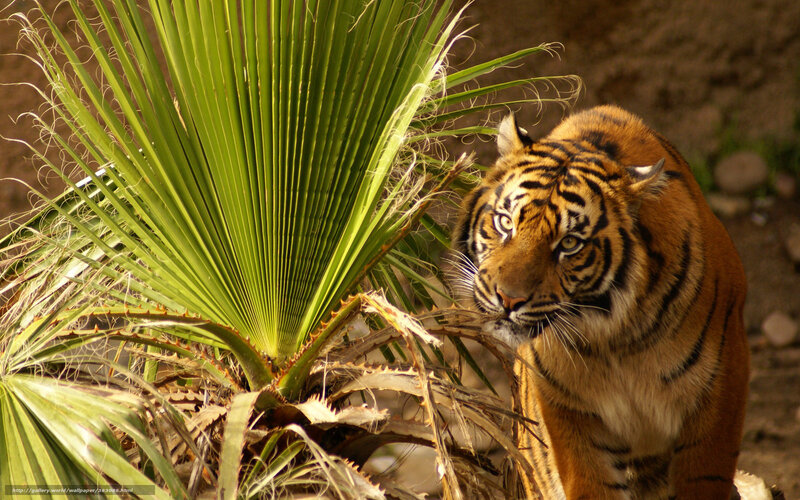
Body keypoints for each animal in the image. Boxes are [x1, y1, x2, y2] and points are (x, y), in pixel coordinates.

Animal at [452, 105, 749, 499]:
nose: (508, 299)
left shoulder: (719, 391)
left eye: (569, 244)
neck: (613, 338)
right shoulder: (568, 411)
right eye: (505, 223)